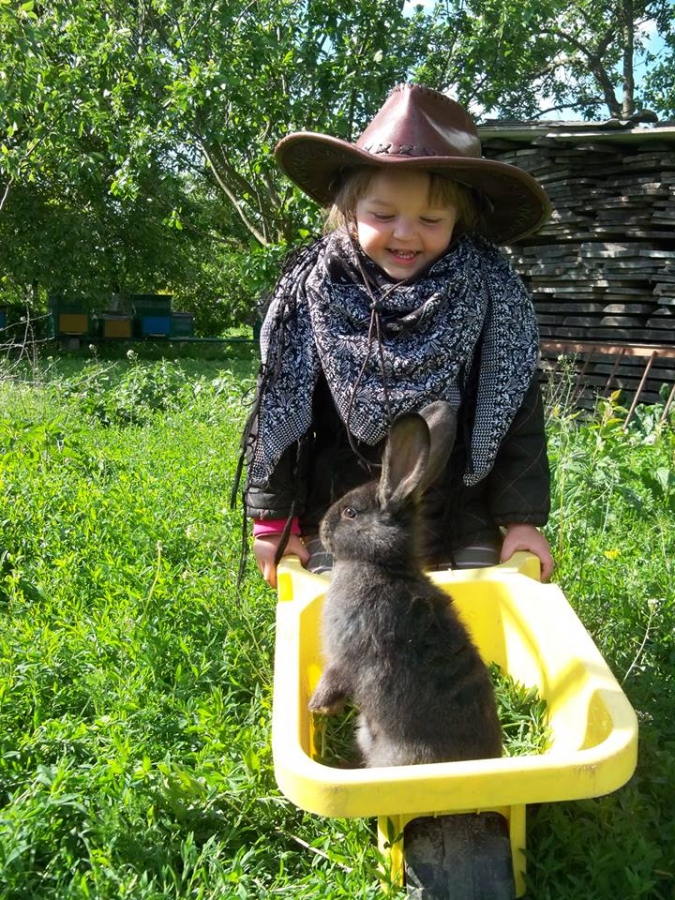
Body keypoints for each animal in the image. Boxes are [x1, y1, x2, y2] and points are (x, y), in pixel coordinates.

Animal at [308, 400, 504, 768]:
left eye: (351, 513)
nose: (322, 527)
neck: (382, 564)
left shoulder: (345, 653)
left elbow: (334, 678)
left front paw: (319, 706)